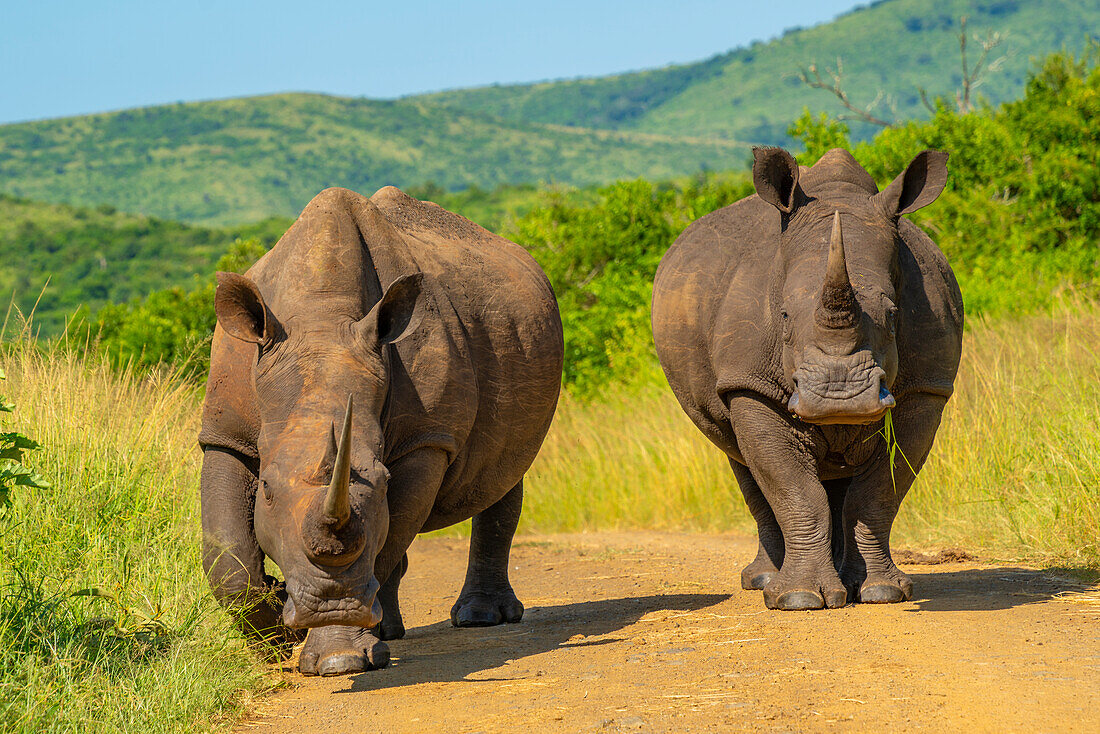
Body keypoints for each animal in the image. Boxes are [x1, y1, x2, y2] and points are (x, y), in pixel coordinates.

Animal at [199, 187, 563, 673]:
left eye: (385, 480)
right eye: (268, 490)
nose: (327, 605)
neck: (321, 319)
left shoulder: (425, 439)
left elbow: (386, 538)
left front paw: (339, 659)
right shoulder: (226, 433)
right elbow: (226, 557)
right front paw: (274, 634)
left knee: (504, 472)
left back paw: (479, 619)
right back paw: (387, 630)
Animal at [651, 146, 963, 611]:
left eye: (893, 315)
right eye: (782, 316)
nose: (839, 397)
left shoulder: (925, 388)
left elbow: (878, 493)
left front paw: (883, 592)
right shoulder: (750, 383)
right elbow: (793, 489)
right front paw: (798, 599)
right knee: (741, 458)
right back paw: (764, 580)